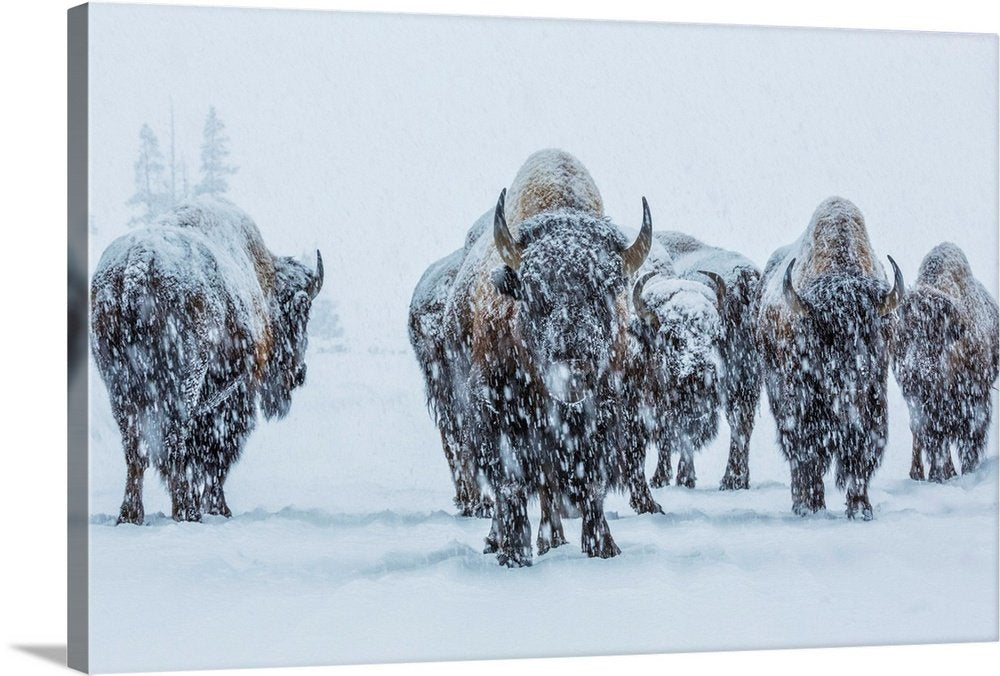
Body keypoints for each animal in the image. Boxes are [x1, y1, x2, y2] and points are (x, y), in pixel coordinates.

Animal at [91, 197, 323, 523]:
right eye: (301, 314)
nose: (299, 373)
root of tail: (138, 261)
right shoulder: (232, 394)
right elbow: (216, 453)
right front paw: (219, 508)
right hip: (185, 378)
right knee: (176, 437)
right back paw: (185, 511)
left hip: (118, 384)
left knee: (134, 445)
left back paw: (131, 514)